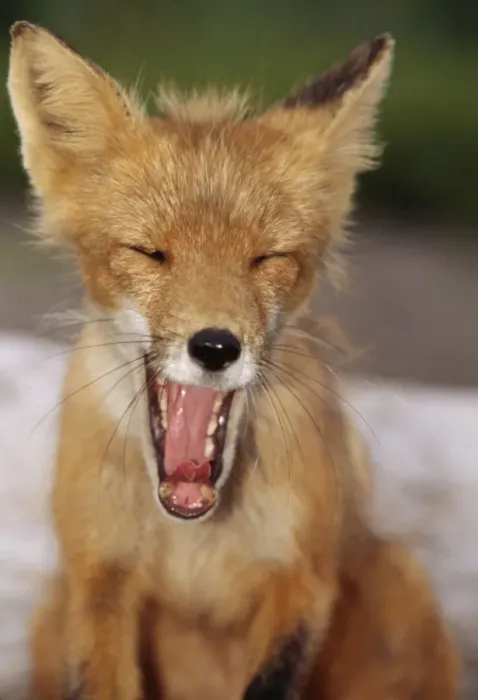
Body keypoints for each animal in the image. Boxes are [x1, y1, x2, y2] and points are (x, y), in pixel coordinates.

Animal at [7, 20, 459, 700]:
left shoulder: (302, 578)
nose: (215, 346)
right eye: (150, 252)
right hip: (48, 615)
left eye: (266, 258)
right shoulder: (97, 577)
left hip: (400, 585)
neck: (194, 539)